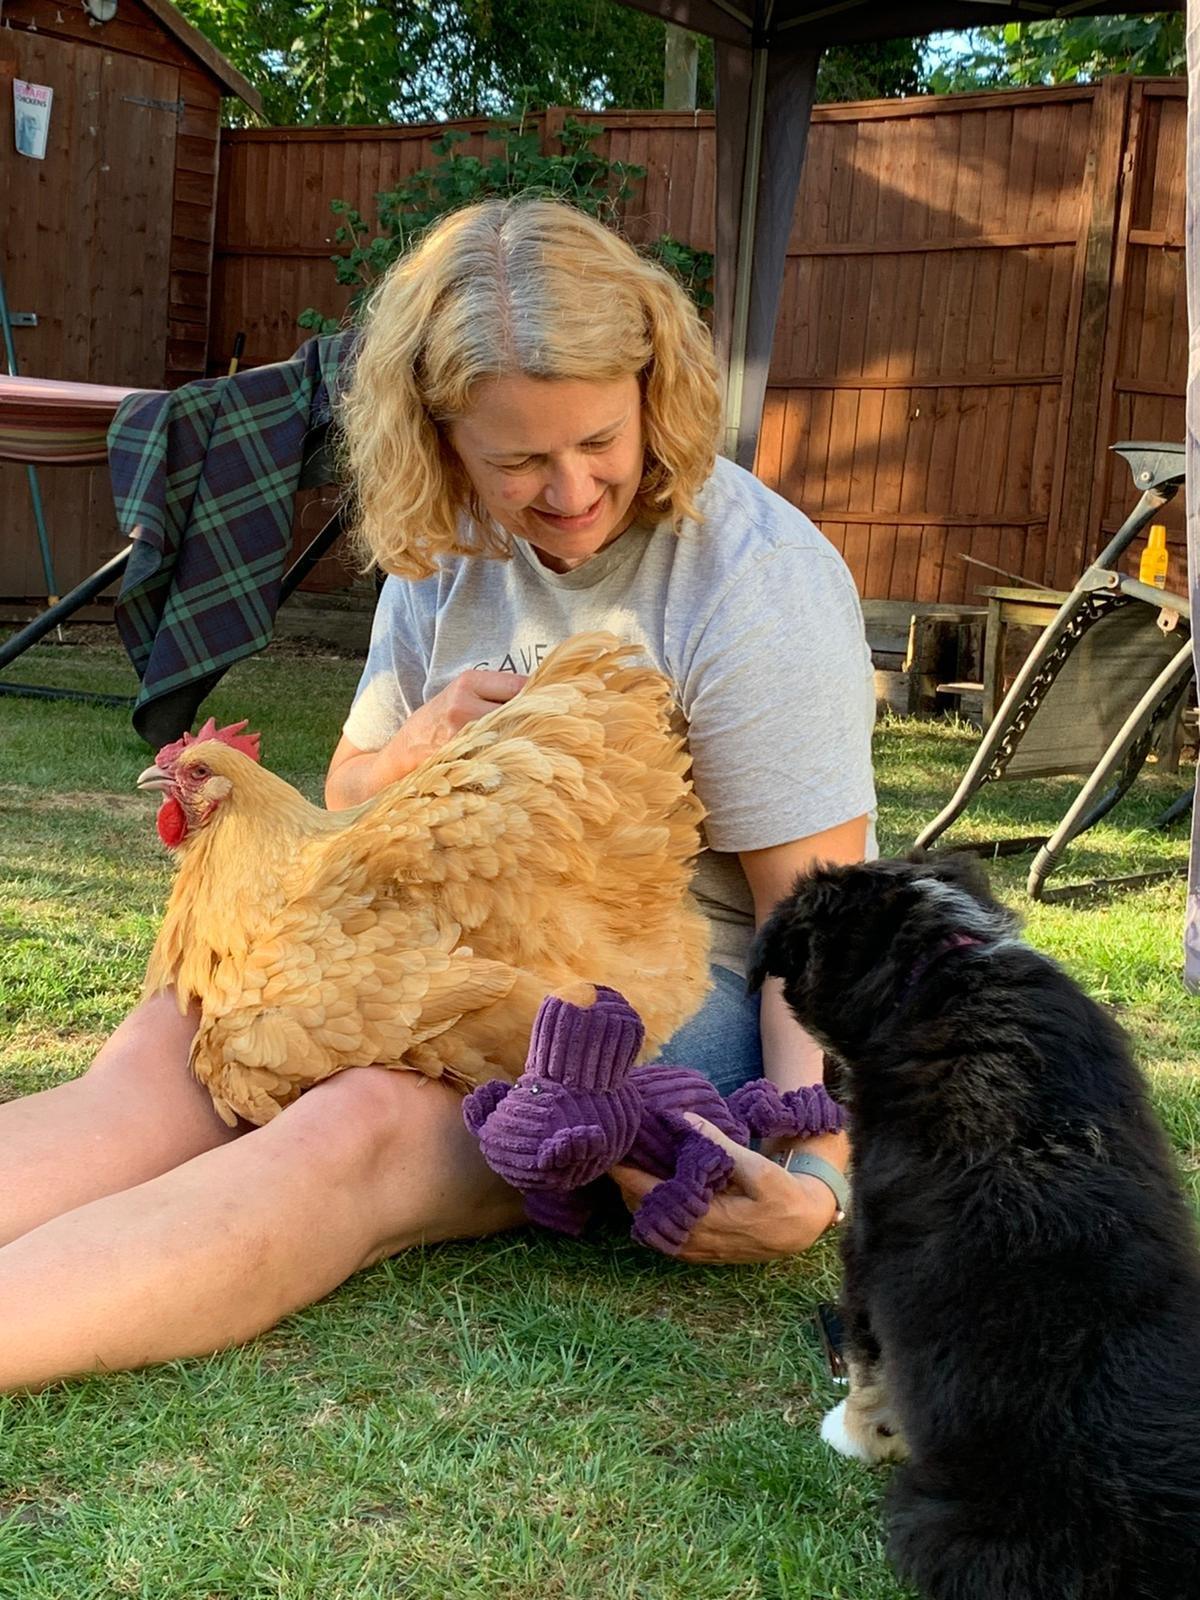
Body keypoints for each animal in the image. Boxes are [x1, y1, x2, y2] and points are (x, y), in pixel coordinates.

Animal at [752, 857, 1200, 1600]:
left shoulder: (866, 1251)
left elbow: (873, 1366)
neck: (940, 967)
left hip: (937, 1521)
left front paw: (854, 1434)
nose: (819, 1091)